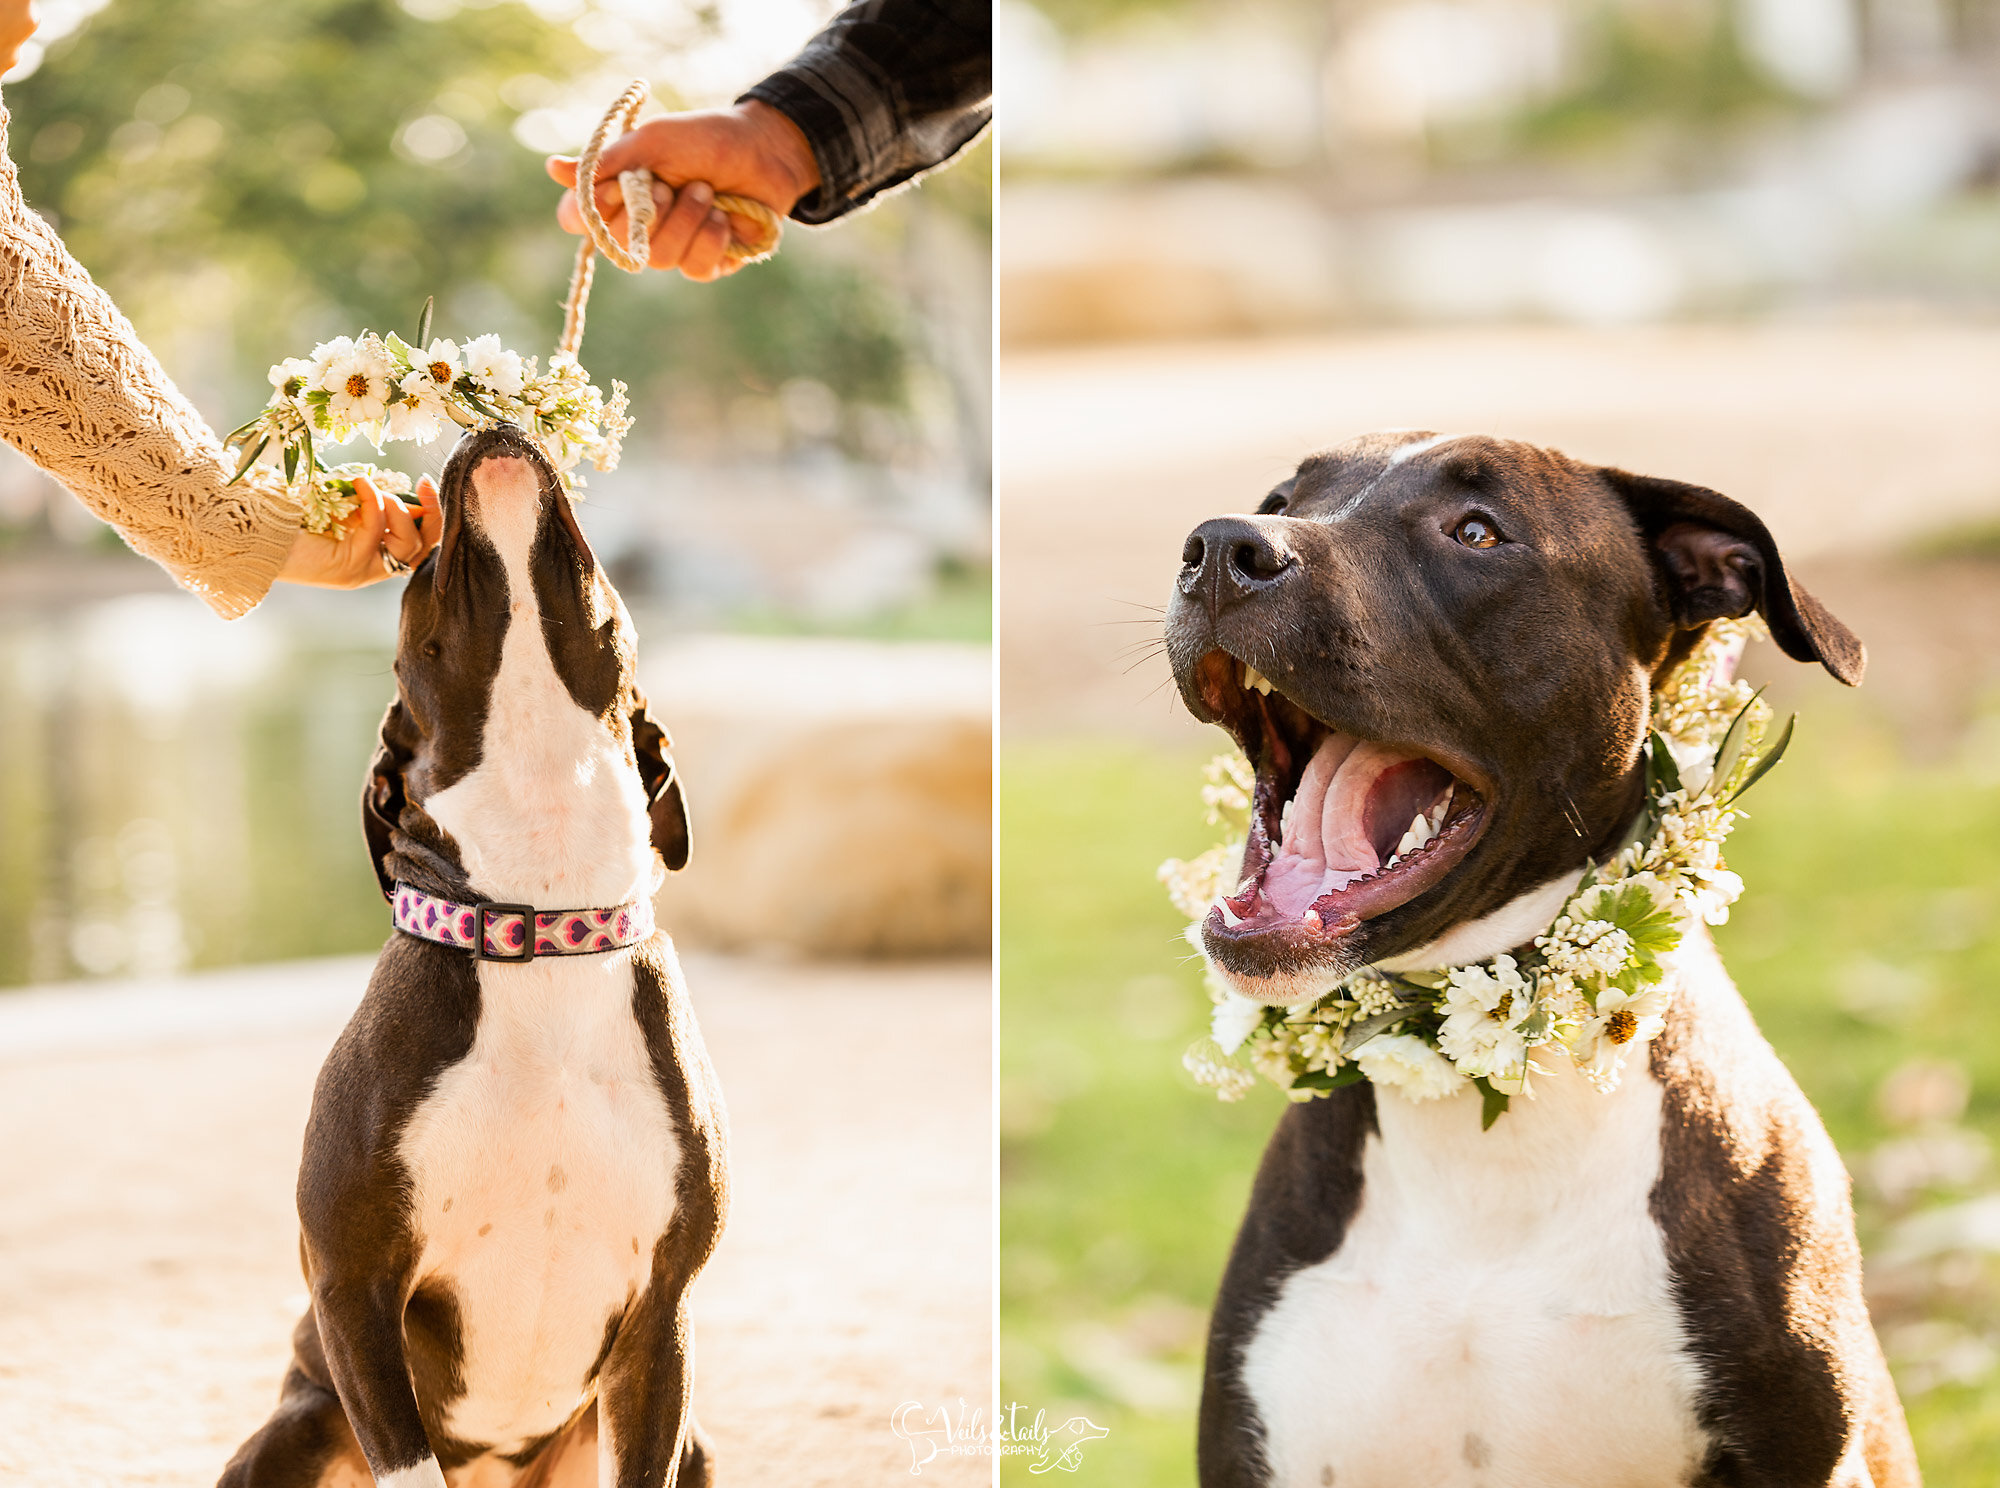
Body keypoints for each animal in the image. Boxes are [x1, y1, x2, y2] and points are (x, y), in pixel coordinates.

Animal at [223, 424, 724, 1488]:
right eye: (417, 577)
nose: (488, 429)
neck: (542, 922)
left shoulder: (662, 1316)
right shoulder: (355, 1286)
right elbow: (407, 1462)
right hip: (295, 1426)